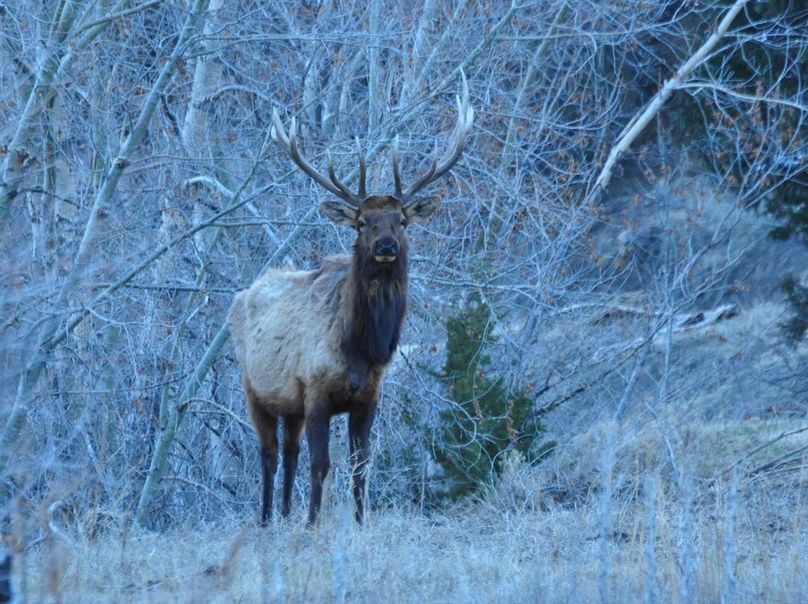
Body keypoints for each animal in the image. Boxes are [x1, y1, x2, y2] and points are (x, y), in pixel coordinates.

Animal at [227, 74, 473, 526]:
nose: (386, 245)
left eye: (402, 220)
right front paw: (312, 524)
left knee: (289, 451)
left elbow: (362, 464)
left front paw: (360, 523)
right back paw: (268, 519)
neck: (362, 348)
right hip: (254, 388)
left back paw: (284, 514)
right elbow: (321, 463)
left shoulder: (368, 396)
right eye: (361, 222)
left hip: (290, 404)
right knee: (269, 454)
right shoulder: (316, 390)